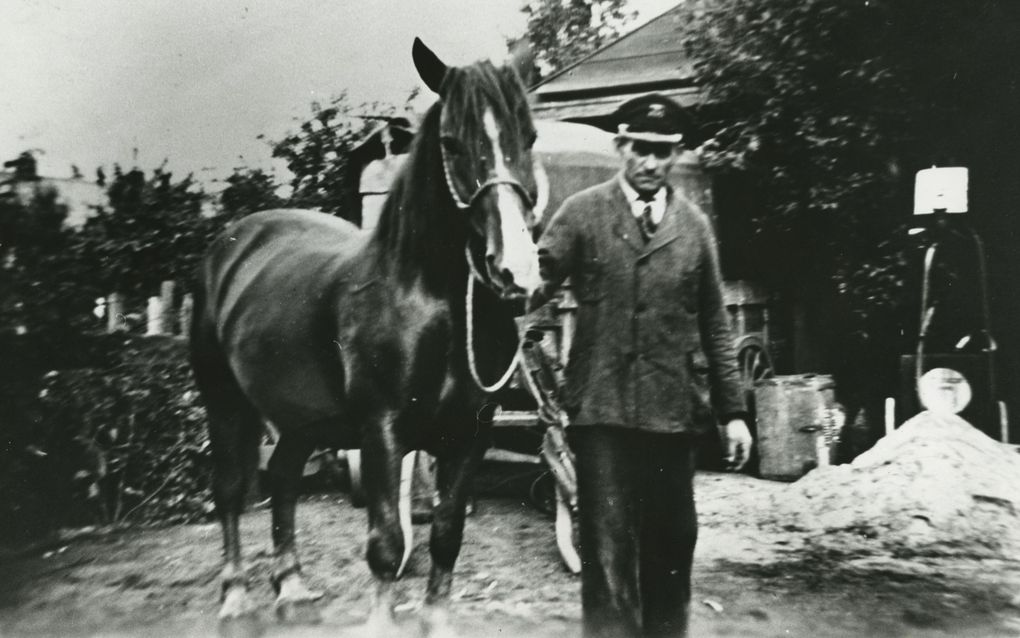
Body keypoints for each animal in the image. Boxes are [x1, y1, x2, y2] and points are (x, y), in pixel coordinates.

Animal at [189, 38, 542, 632]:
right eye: (451, 142)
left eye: (530, 136)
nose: (515, 272)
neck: (431, 304)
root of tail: (230, 244)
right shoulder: (382, 433)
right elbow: (388, 544)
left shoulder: (469, 434)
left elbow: (446, 537)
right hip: (225, 403)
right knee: (232, 490)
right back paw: (236, 596)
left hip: (300, 419)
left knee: (284, 476)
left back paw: (292, 587)